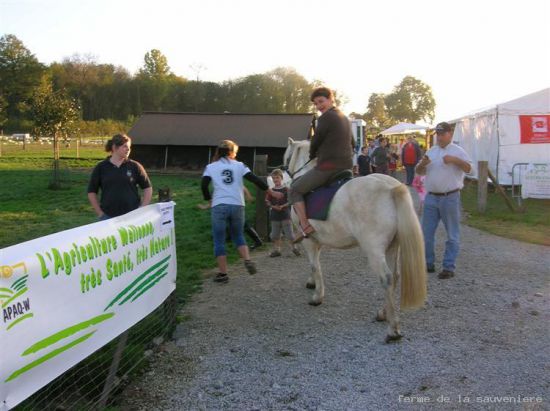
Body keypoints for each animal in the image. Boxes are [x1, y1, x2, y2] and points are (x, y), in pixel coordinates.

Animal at [286, 138, 430, 344]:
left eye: (287, 156)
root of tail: (390, 187)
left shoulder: (308, 240)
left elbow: (314, 265)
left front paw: (317, 296)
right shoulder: (317, 240)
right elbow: (315, 264)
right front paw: (312, 283)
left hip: (374, 250)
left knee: (386, 278)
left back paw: (393, 329)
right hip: (392, 247)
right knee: (394, 277)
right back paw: (383, 313)